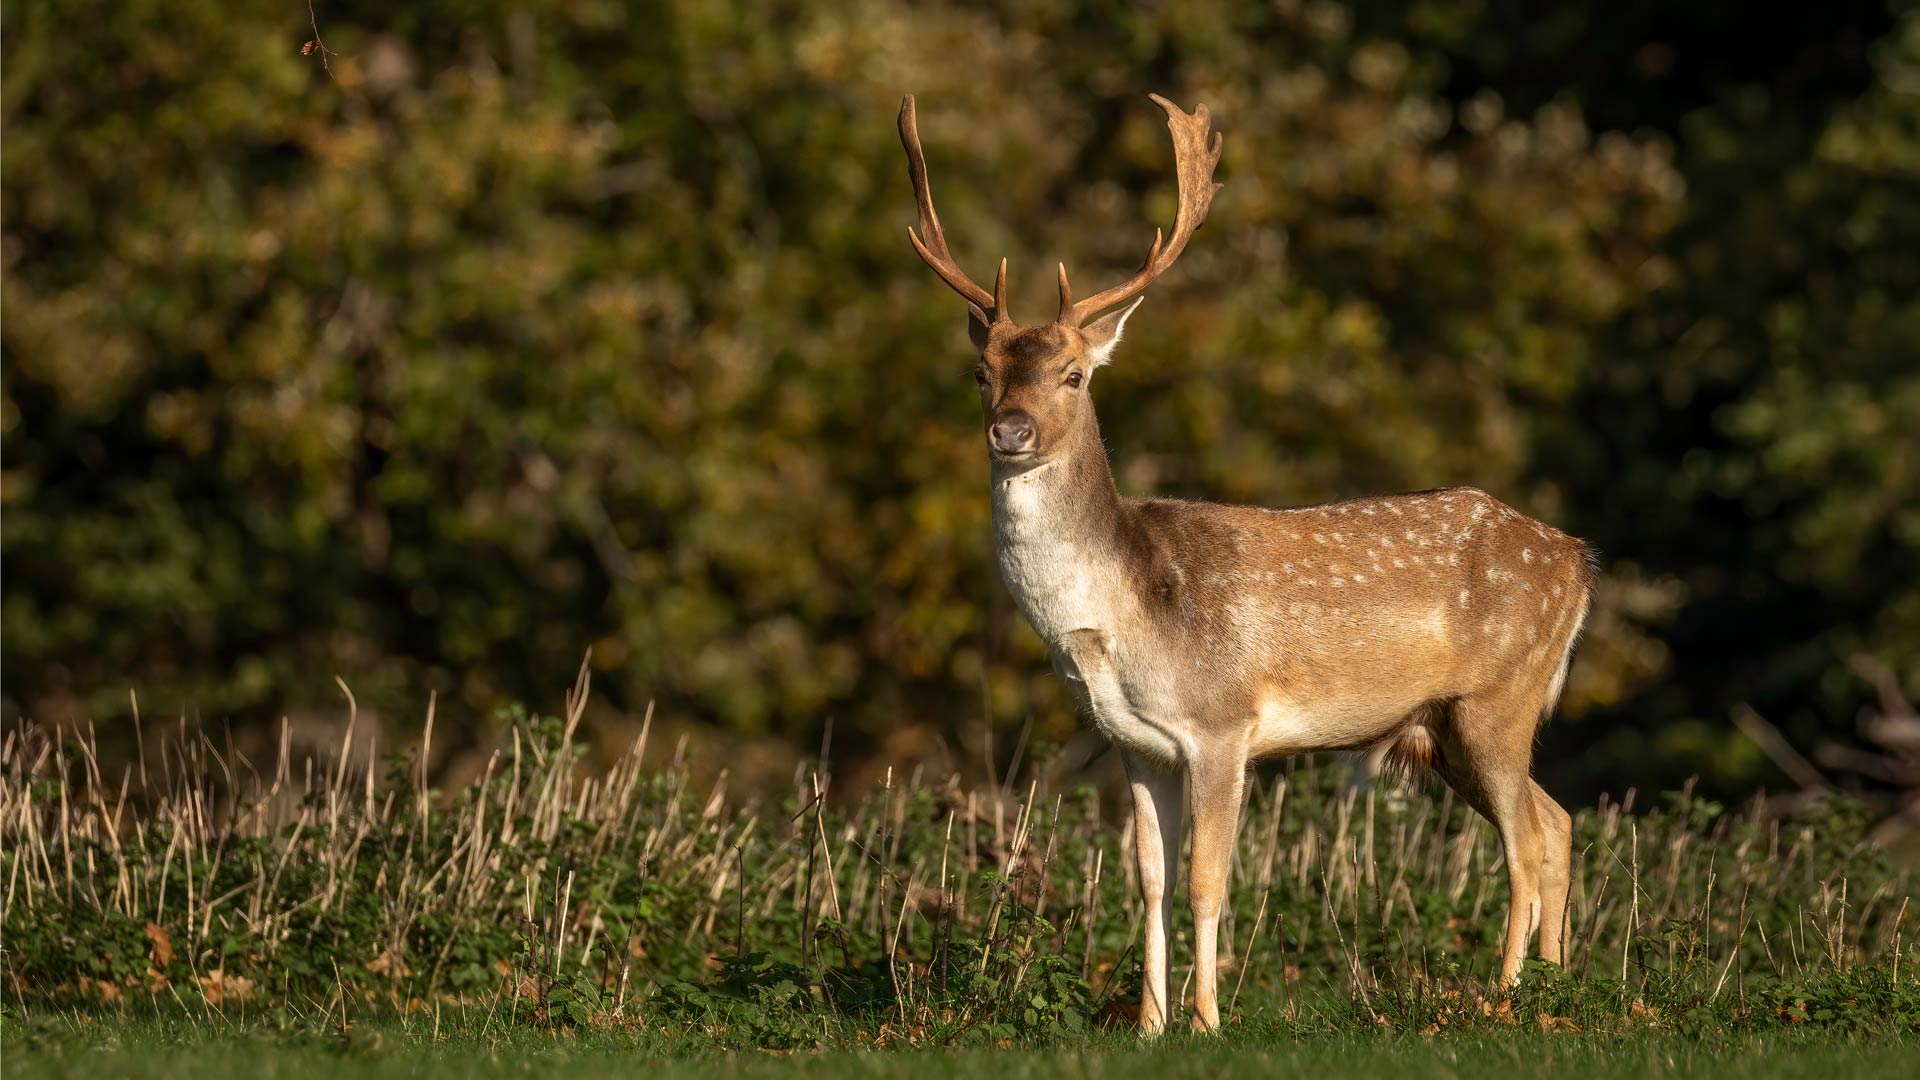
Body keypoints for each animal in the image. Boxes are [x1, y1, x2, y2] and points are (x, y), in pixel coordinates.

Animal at [899, 92, 1595, 1035]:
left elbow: (1207, 880)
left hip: (1499, 696)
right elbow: (1149, 881)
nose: (1011, 430)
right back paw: (1557, 985)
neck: (1123, 613)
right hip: (1447, 729)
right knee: (1555, 821)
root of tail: (1579, 562)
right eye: (981, 371)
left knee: (1525, 839)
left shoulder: (1223, 723)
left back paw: (1507, 995)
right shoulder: (1136, 743)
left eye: (1075, 374)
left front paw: (1206, 1021)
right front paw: (1148, 1023)